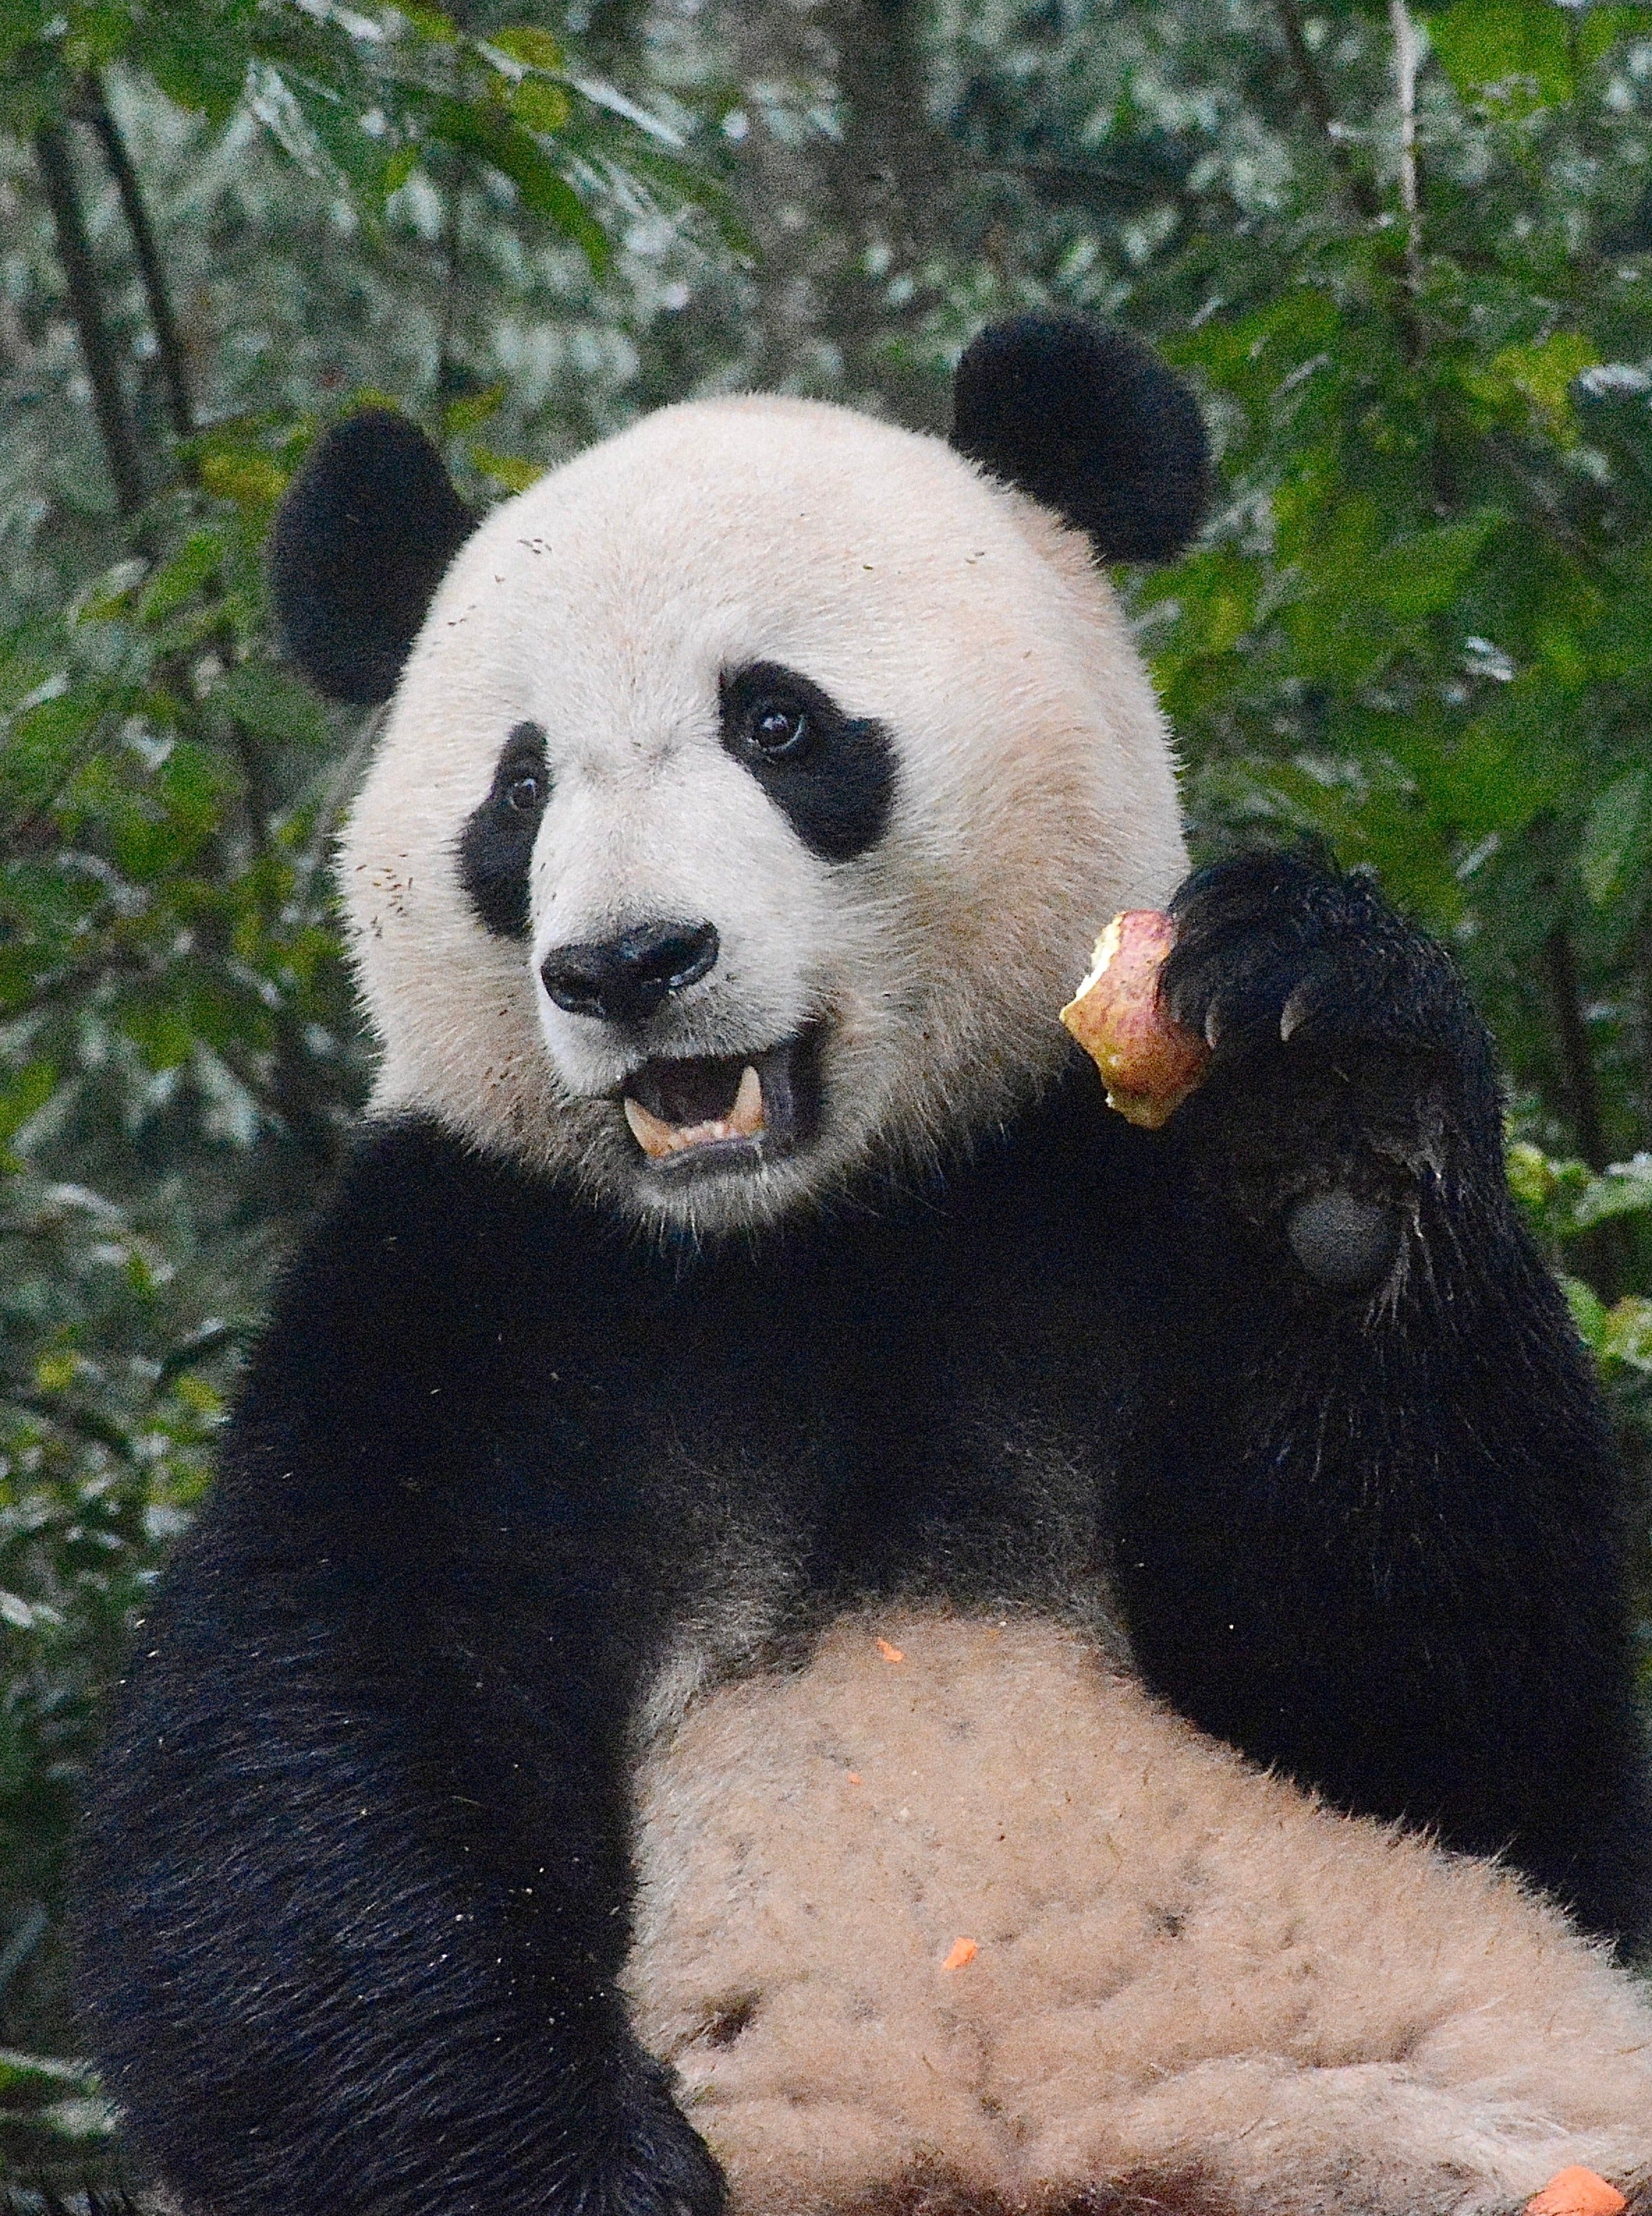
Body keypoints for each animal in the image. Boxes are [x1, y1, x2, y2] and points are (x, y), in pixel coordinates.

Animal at [70, 316, 1647, 2216]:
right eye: (518, 788)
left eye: (775, 720)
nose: (627, 964)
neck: (810, 1235)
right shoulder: (469, 1289)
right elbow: (293, 1789)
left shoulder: (1080, 1202)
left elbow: (1457, 1711)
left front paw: (1323, 1088)